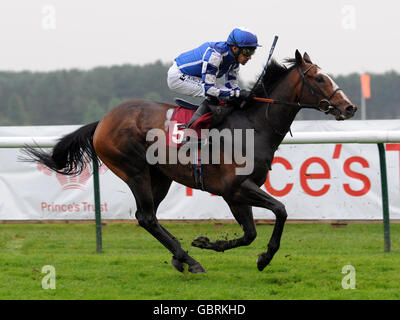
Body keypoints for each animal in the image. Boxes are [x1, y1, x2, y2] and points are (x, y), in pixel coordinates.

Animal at [21, 50, 356, 272]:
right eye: (319, 78)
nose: (349, 107)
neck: (253, 125)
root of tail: (103, 120)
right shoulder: (236, 189)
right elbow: (281, 211)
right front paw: (264, 258)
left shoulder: (237, 194)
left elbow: (250, 233)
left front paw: (209, 243)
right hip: (135, 171)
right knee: (146, 217)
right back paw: (189, 260)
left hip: (160, 177)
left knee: (148, 217)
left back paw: (180, 256)